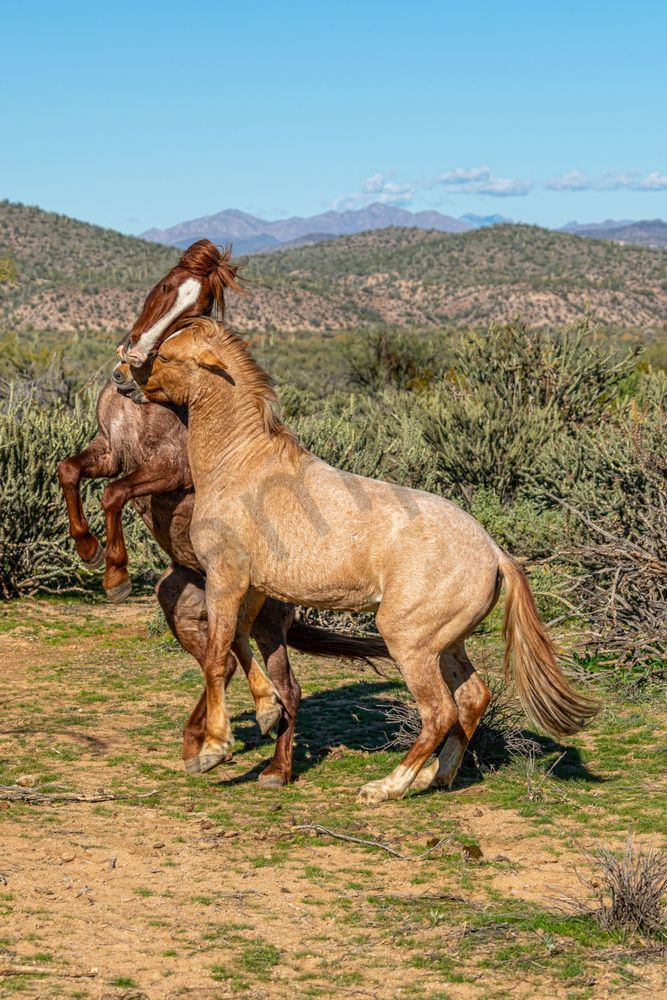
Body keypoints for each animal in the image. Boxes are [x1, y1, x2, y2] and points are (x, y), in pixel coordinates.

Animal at [132, 316, 599, 804]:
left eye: (166, 355)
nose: (126, 381)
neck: (240, 464)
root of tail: (494, 552)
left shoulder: (225, 578)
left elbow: (216, 656)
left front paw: (213, 749)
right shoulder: (252, 587)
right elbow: (239, 643)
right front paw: (266, 711)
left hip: (408, 642)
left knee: (439, 711)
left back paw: (387, 787)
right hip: (447, 643)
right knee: (473, 698)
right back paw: (436, 778)